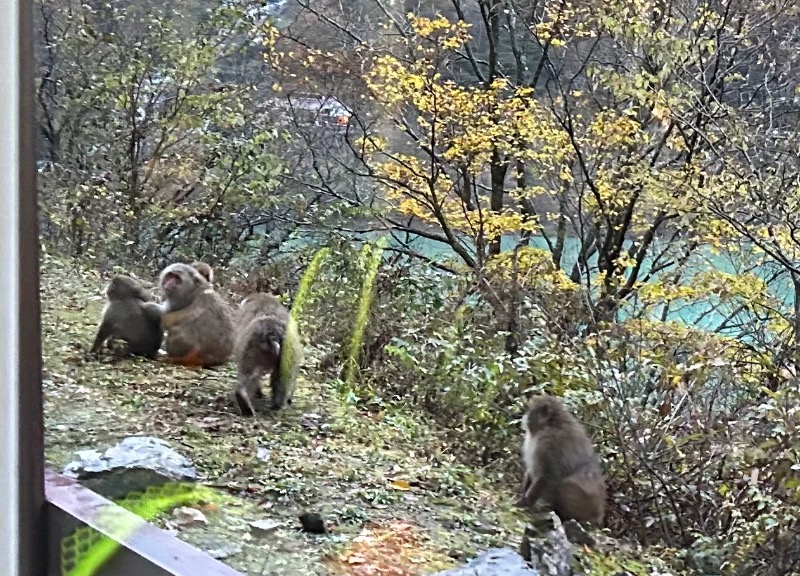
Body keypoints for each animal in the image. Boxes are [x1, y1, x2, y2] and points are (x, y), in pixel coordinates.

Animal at [520, 396, 608, 528]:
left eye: (529, 410)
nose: (524, 417)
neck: (550, 424)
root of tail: (599, 517)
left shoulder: (548, 444)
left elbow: (548, 475)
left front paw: (525, 503)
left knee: (564, 486)